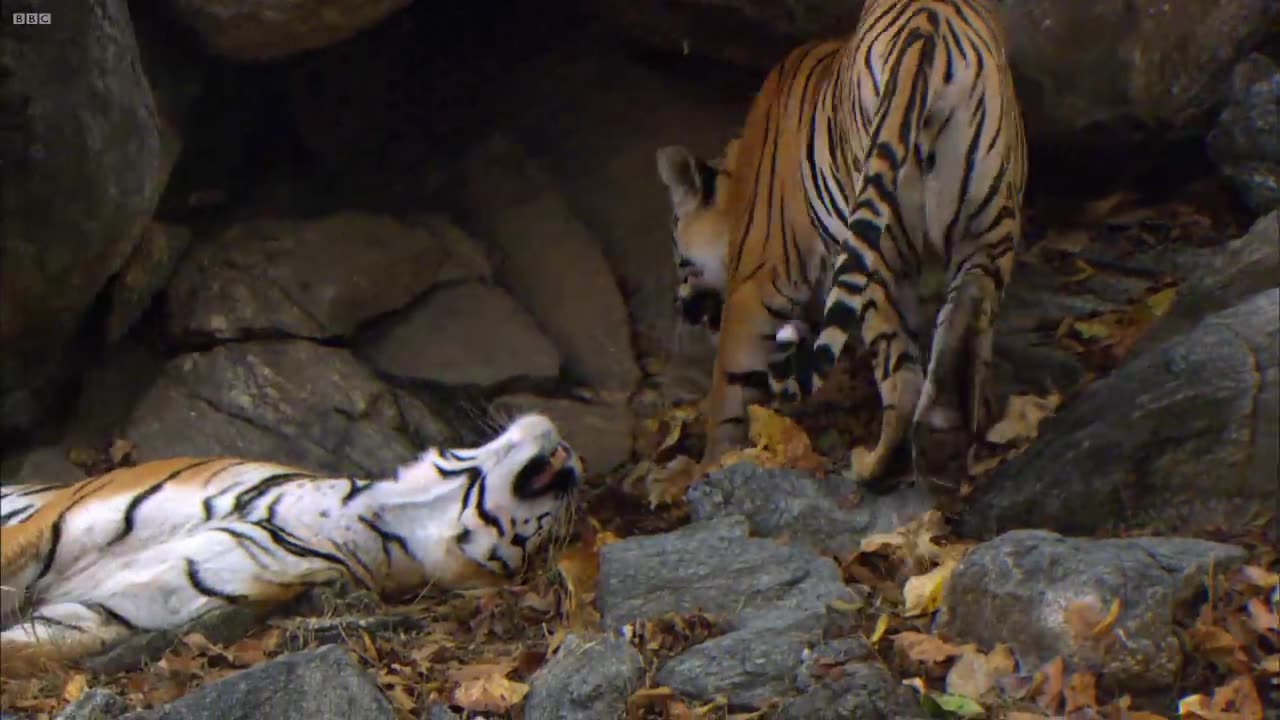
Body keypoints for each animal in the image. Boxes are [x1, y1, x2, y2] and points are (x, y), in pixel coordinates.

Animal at [660, 0, 1029, 486]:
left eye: (677, 254)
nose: (681, 308)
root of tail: (926, 26)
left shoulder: (756, 281)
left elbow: (729, 383)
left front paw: (710, 465)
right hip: (988, 228)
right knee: (962, 325)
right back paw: (948, 445)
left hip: (877, 255)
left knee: (903, 381)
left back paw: (871, 465)